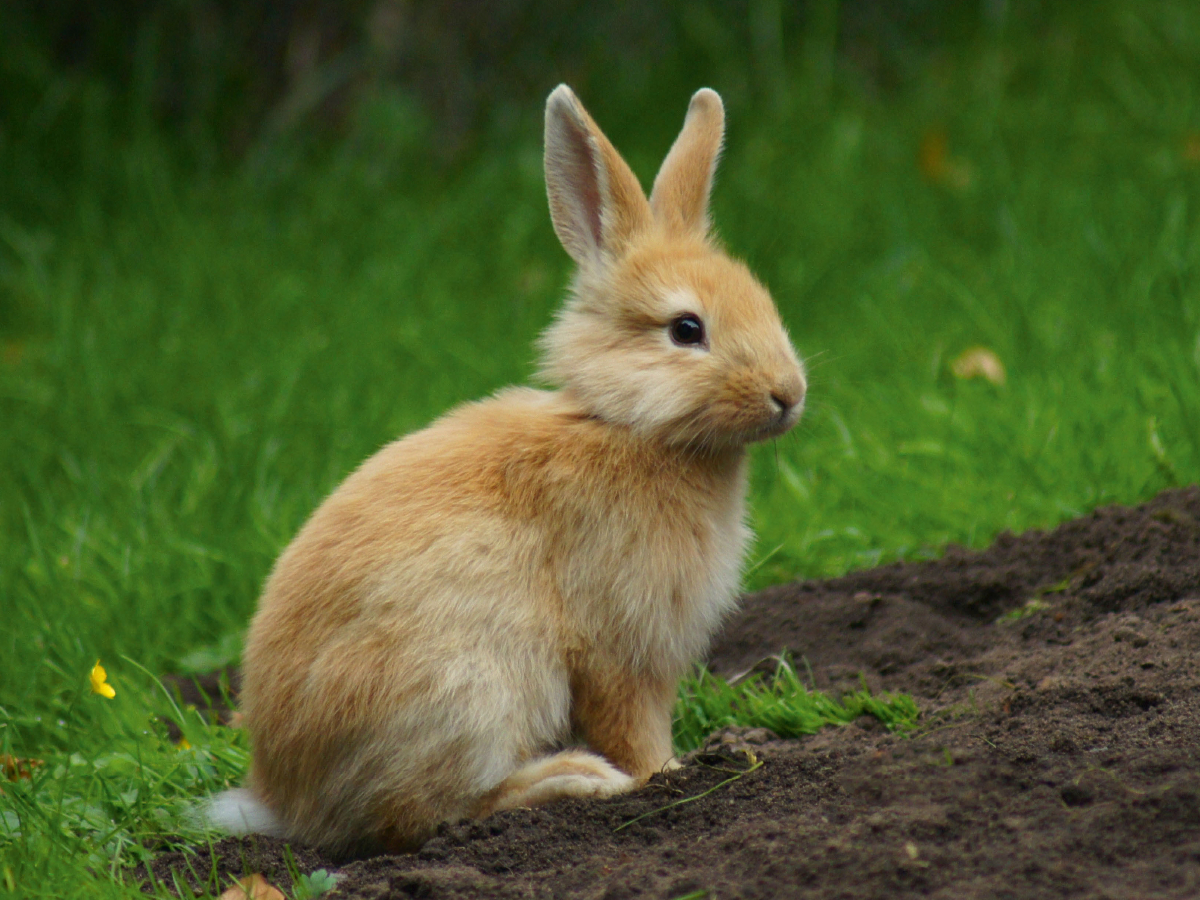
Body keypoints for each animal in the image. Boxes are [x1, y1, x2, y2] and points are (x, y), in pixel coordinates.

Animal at [208, 84, 806, 859]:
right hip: (468, 691)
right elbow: (633, 728)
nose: (789, 394)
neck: (627, 424)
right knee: (422, 814)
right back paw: (573, 780)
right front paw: (667, 777)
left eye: (762, 300)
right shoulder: (618, 647)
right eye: (686, 330)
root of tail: (286, 800)